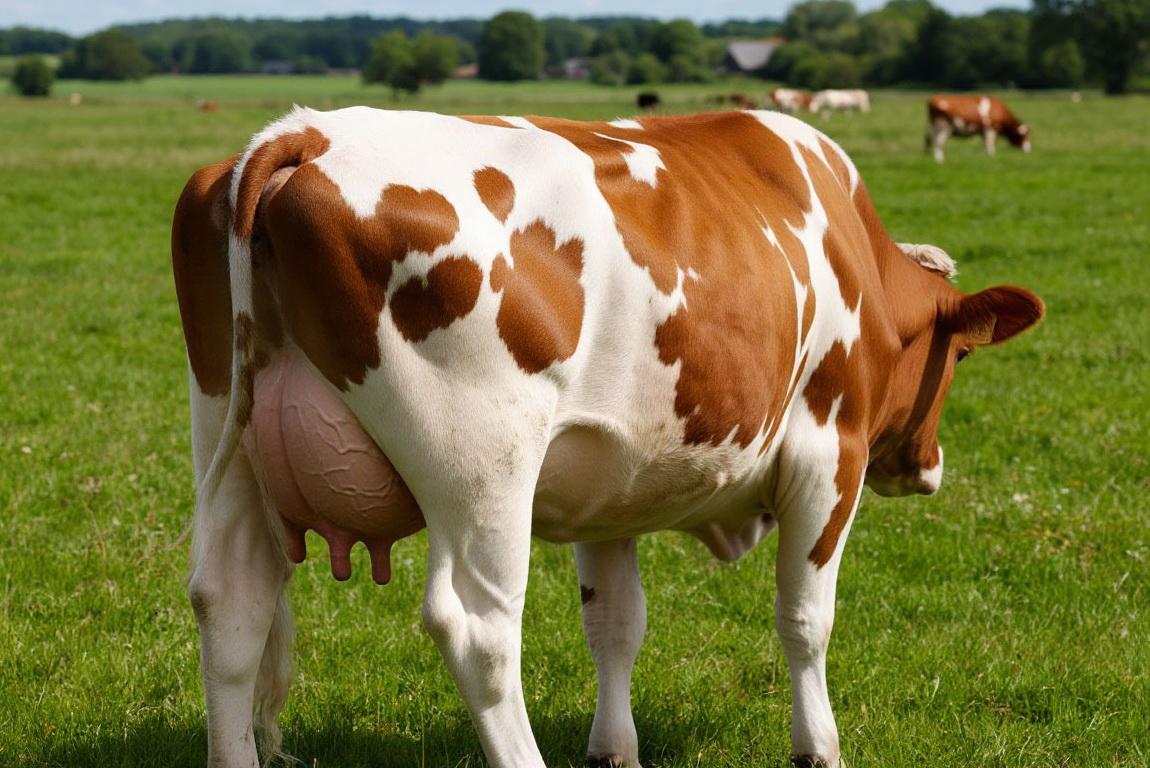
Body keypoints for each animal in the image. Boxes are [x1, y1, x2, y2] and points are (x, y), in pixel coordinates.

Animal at [173, 105, 1044, 768]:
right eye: (961, 354)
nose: (928, 466)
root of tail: (304, 134)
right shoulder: (829, 454)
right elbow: (805, 617)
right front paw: (818, 747)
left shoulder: (607, 482)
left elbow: (615, 625)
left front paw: (612, 749)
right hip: (483, 469)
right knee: (477, 628)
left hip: (228, 437)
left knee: (233, 603)